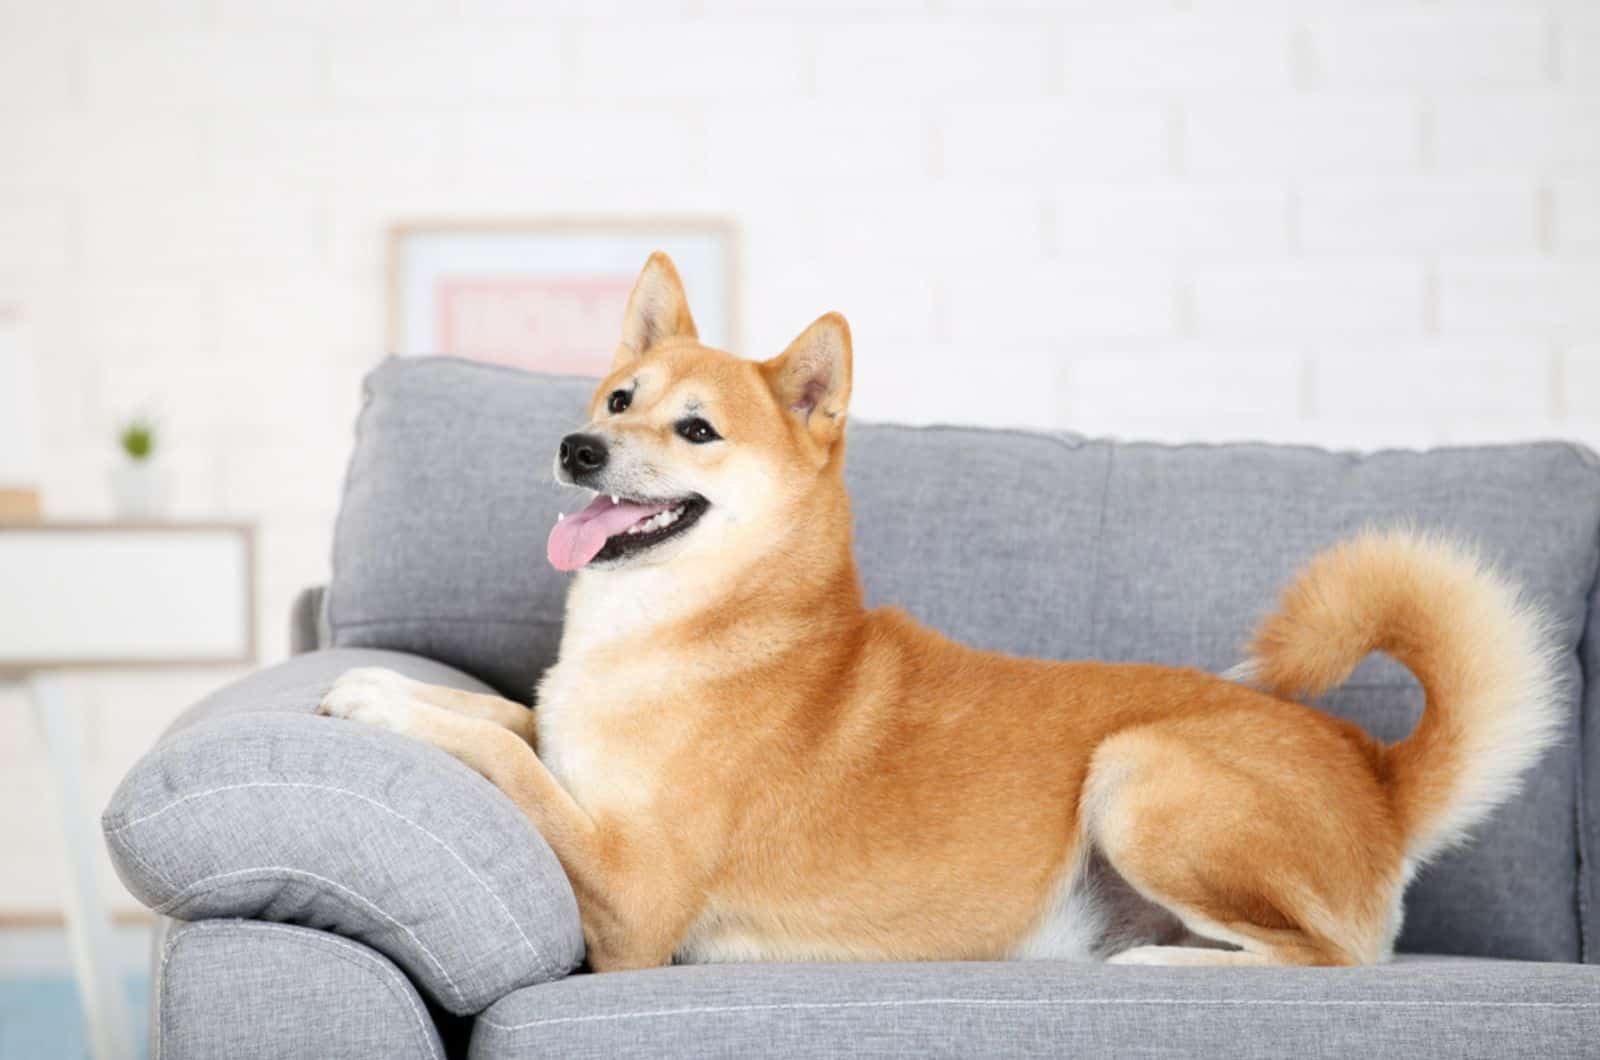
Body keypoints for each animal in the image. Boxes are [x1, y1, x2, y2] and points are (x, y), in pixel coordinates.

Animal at [315, 249, 1561, 973]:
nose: (578, 447)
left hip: (1140, 769)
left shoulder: (631, 898)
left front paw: (391, 707)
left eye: (696, 429)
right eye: (618, 399)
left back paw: (1164, 968)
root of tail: (1374, 769)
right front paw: (393, 681)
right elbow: (515, 721)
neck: (705, 628)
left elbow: (509, 760)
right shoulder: (574, 746)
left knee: (1335, 959)